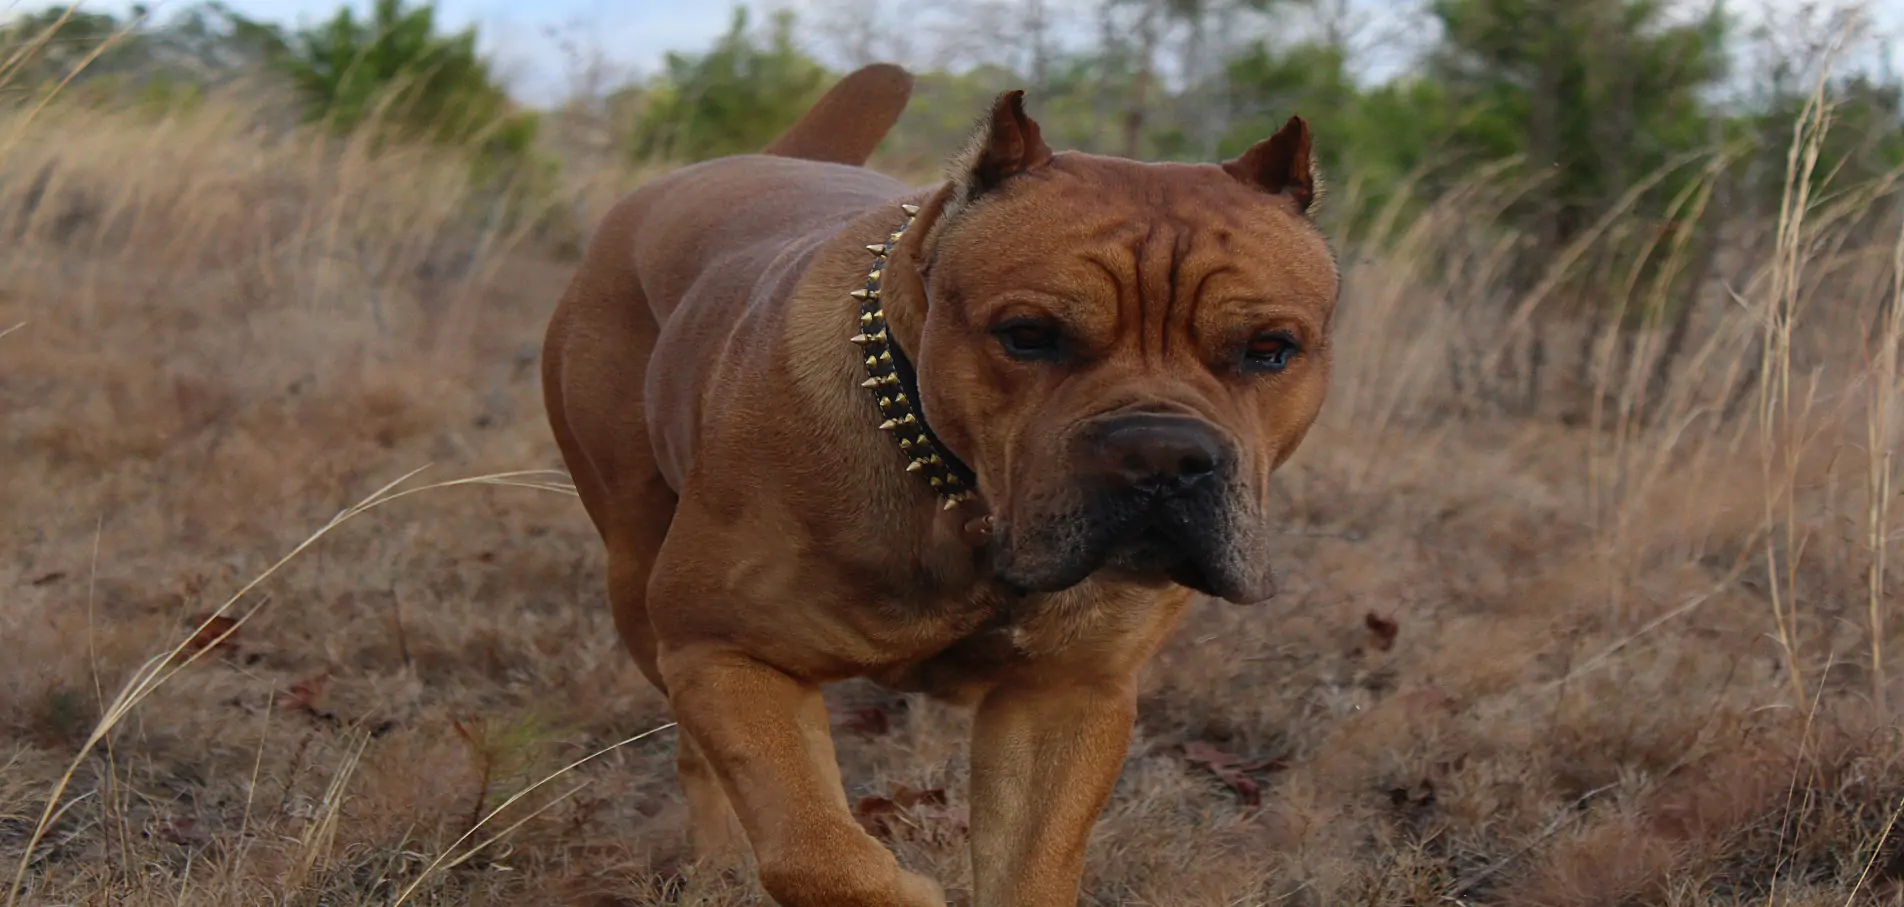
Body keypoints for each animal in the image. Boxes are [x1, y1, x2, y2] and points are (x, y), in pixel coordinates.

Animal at [540, 60, 1340, 903]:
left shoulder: (1066, 696)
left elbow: (1029, 868)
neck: (961, 499)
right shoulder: (722, 650)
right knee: (696, 749)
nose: (1161, 454)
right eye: (1027, 335)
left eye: (1271, 349)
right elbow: (810, 848)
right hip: (638, 578)